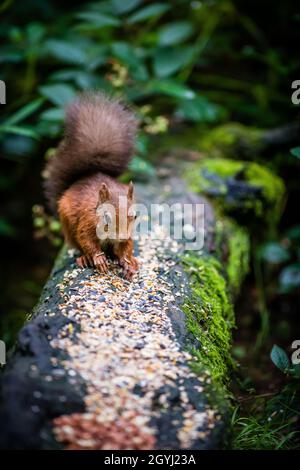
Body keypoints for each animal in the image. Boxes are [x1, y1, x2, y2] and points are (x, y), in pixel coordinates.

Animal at [43, 93, 138, 280]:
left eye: (135, 216)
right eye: (107, 216)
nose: (122, 236)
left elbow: (126, 247)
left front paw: (127, 261)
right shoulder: (86, 221)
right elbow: (86, 240)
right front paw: (98, 258)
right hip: (67, 224)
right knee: (79, 245)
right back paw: (85, 258)